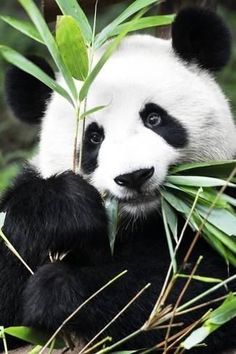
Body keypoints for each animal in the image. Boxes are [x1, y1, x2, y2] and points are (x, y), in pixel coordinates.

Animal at [0, 6, 236, 354]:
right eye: (94, 137)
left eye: (154, 118)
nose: (134, 176)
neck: (139, 221)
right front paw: (64, 207)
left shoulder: (221, 203)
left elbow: (198, 290)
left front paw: (60, 290)